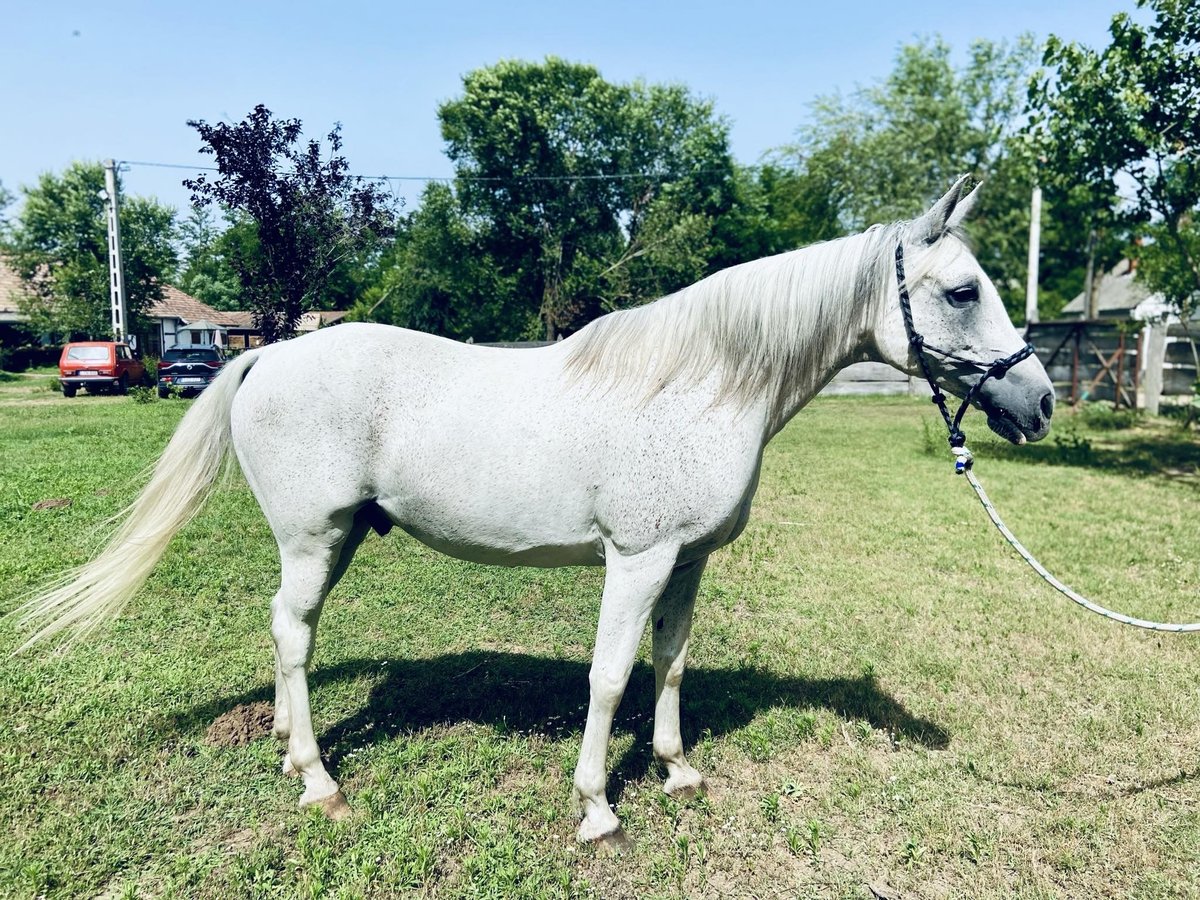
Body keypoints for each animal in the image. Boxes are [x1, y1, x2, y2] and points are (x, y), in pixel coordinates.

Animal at [18, 177, 1051, 854]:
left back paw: (283, 750)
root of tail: (266, 355)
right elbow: (607, 677)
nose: (1038, 402)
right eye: (964, 291)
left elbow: (670, 665)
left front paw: (677, 770)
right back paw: (318, 781)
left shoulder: (686, 563)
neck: (700, 385)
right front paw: (596, 806)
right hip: (314, 538)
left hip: (339, 537)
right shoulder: (636, 560)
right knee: (294, 632)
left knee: (286, 632)